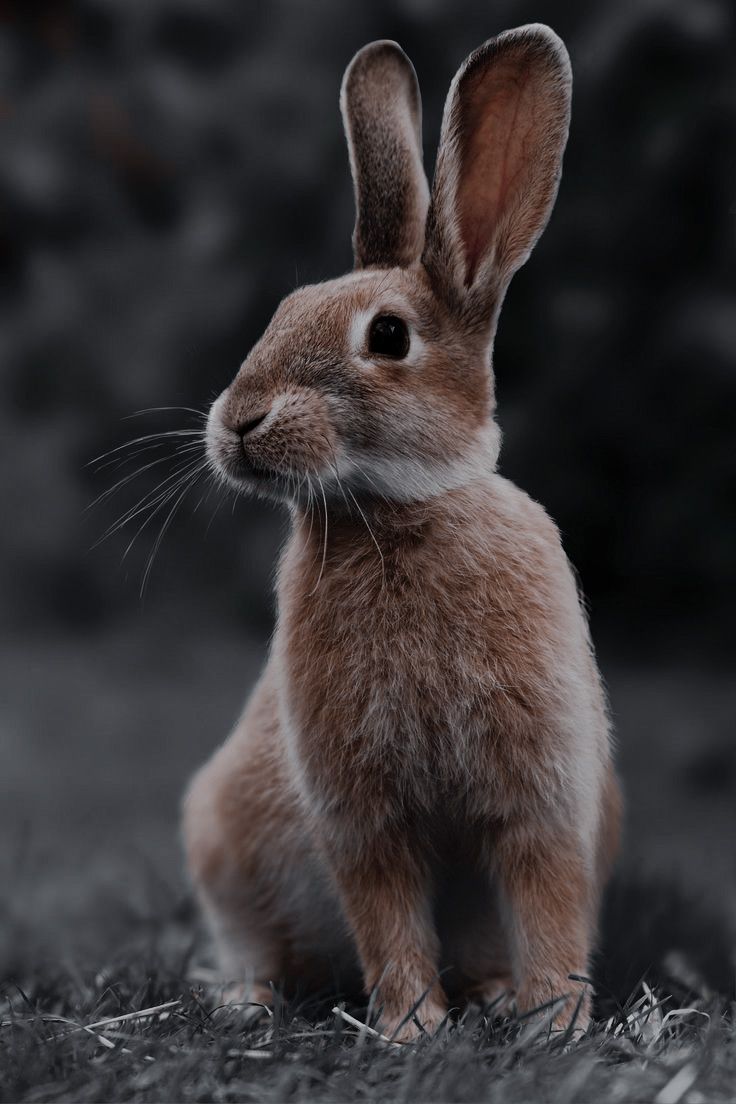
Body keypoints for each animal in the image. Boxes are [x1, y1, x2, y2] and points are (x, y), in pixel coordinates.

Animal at [183, 25, 622, 1042]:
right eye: (283, 310)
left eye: (387, 336)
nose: (238, 422)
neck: (397, 511)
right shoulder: (361, 813)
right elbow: (387, 918)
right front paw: (412, 1027)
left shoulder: (543, 794)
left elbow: (547, 904)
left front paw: (553, 1022)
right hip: (220, 840)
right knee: (254, 945)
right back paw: (248, 1003)